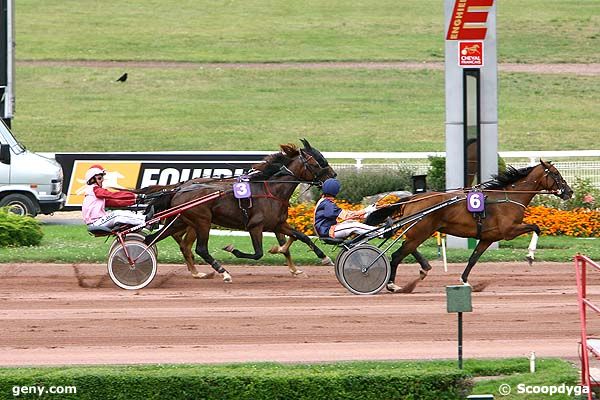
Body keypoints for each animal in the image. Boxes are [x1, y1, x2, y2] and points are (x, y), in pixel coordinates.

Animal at [141, 139, 338, 282]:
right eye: (317, 163)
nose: (333, 176)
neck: (272, 190)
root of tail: (179, 189)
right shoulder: (255, 226)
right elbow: (258, 253)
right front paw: (233, 249)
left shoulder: (278, 224)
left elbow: (302, 237)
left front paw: (321, 259)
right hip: (202, 221)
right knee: (200, 249)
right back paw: (223, 272)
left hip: (181, 221)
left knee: (157, 240)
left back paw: (195, 272)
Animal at [366, 160, 572, 290]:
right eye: (556, 174)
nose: (569, 192)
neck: (508, 198)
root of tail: (412, 198)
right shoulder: (509, 230)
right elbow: (536, 227)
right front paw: (530, 255)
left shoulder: (488, 238)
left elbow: (473, 258)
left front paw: (464, 281)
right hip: (421, 231)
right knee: (397, 254)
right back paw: (391, 284)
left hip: (419, 231)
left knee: (407, 247)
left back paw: (424, 267)